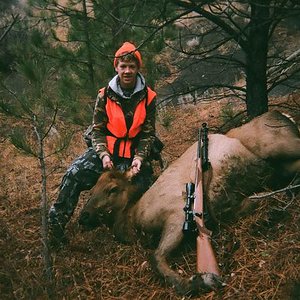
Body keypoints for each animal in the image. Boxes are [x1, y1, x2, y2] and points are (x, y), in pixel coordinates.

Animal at [79, 109, 300, 294]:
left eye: (112, 189)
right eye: (91, 190)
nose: (83, 215)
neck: (132, 219)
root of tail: (284, 115)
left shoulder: (177, 215)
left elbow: (155, 258)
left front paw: (199, 280)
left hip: (280, 146)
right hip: (280, 165)